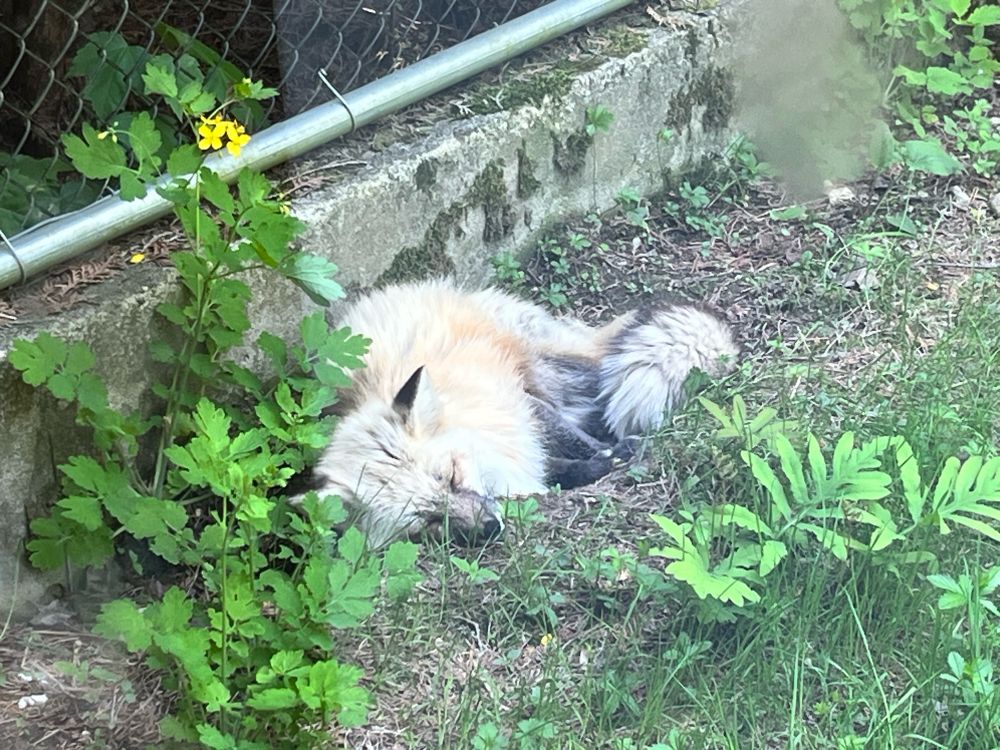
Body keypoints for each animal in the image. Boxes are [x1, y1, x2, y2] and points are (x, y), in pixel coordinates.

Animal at [297, 278, 738, 547]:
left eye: (452, 477)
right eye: (429, 522)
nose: (491, 528)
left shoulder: (516, 401)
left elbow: (566, 439)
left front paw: (614, 455)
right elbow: (556, 469)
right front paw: (594, 467)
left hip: (553, 365)